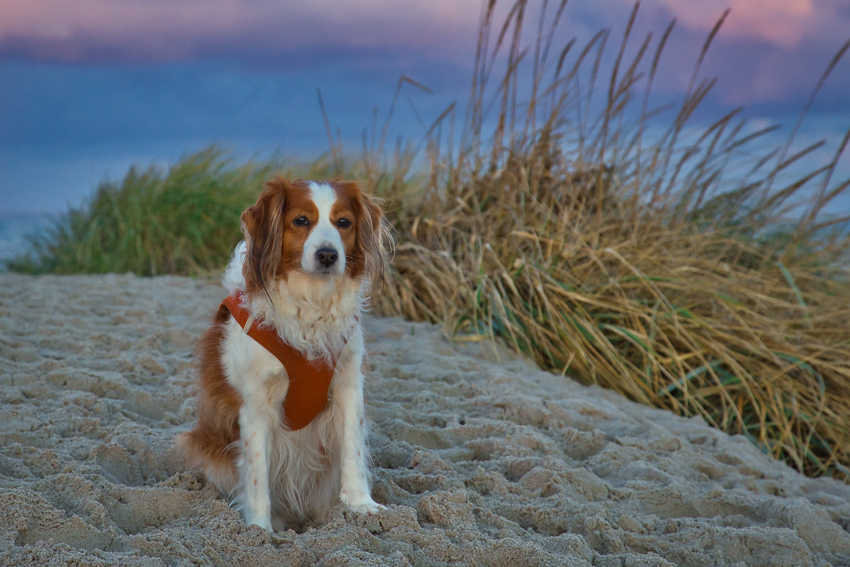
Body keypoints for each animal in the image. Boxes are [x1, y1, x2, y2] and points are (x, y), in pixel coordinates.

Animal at [178, 175, 394, 532]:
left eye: (343, 223)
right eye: (301, 221)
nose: (327, 255)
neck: (310, 306)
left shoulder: (348, 385)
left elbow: (353, 450)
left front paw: (360, 504)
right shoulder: (255, 404)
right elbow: (257, 476)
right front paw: (259, 530)